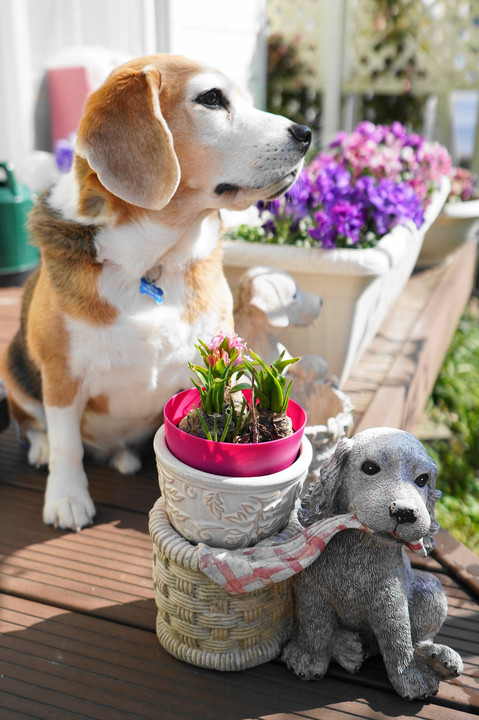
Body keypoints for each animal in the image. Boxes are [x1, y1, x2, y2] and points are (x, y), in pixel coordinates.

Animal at [1, 53, 312, 528]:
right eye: (212, 98)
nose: (306, 134)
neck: (151, 262)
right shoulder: (60, 375)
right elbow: (68, 444)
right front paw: (67, 497)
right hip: (14, 368)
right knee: (37, 426)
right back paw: (42, 449)